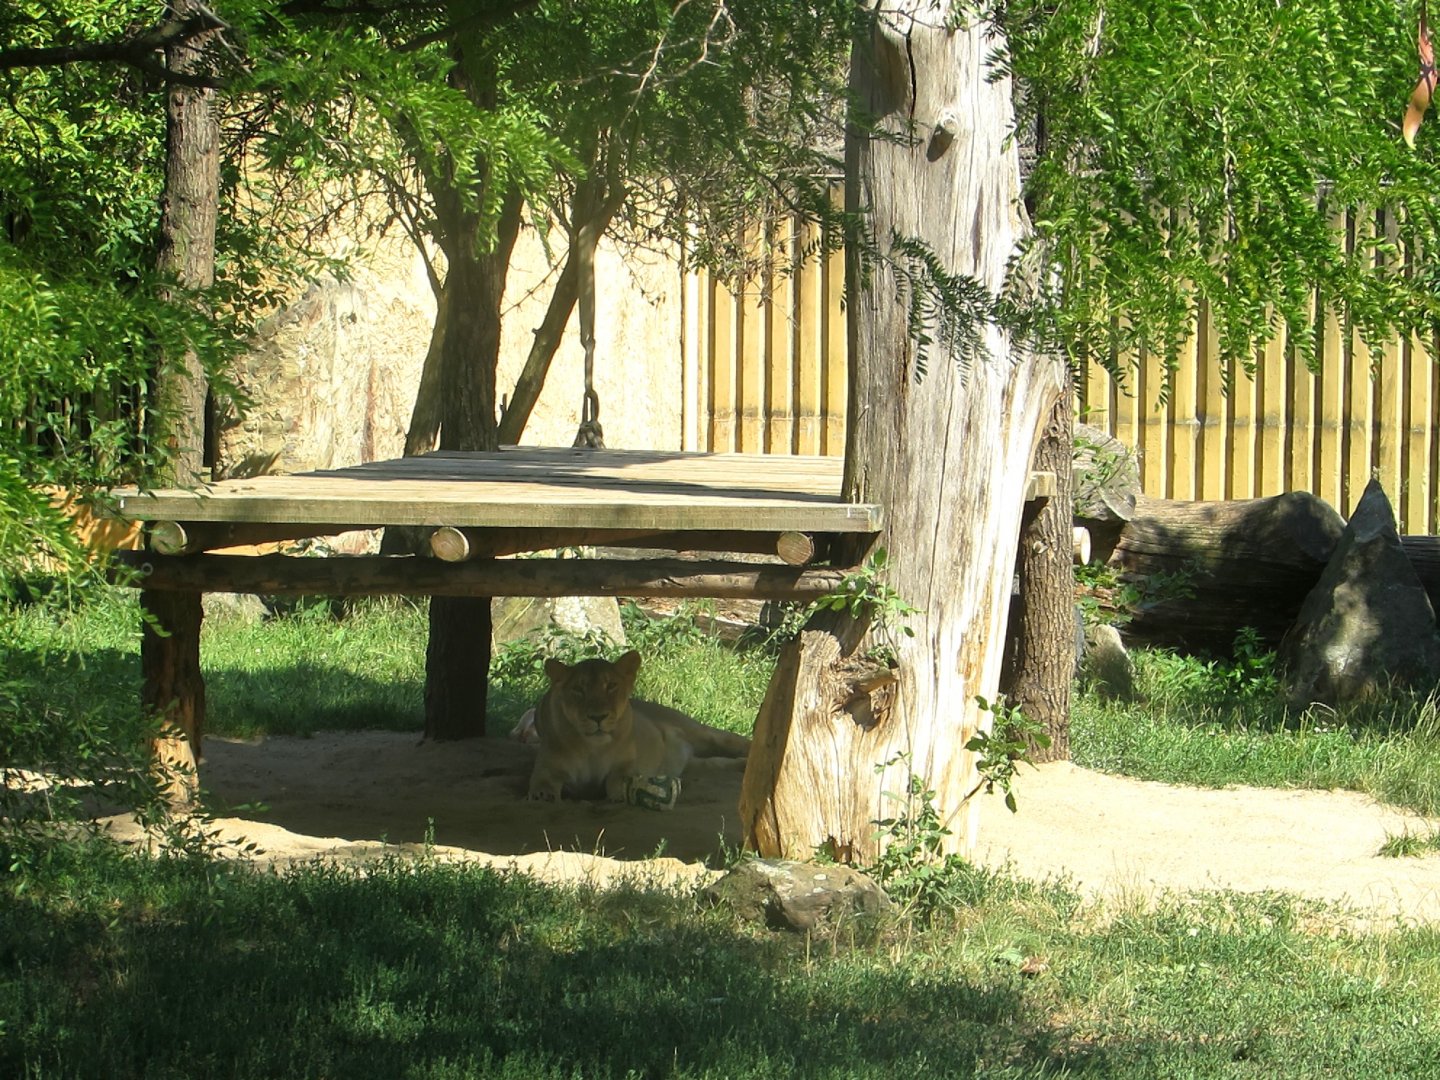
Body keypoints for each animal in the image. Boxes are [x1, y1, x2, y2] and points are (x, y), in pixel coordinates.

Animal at [526, 650, 751, 803]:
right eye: (578, 689)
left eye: (611, 686)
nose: (598, 717)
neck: (593, 749)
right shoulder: (546, 769)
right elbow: (542, 788)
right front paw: (545, 797)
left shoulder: (629, 766)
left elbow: (616, 783)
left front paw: (616, 795)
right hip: (695, 766)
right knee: (716, 763)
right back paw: (743, 766)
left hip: (701, 732)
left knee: (737, 741)